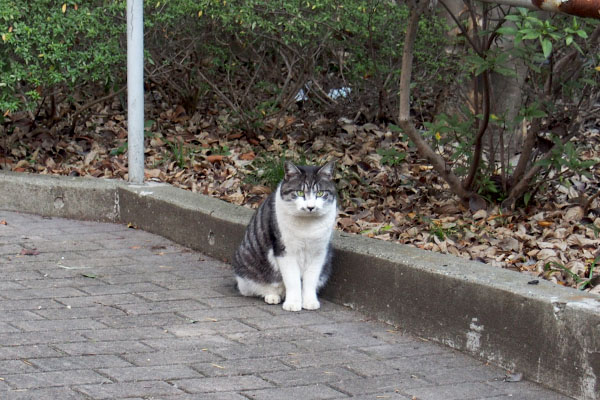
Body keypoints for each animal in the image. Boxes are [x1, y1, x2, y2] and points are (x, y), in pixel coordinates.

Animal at [233, 161, 338, 310]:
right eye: (299, 192)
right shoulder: (285, 251)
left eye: (320, 193)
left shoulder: (319, 252)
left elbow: (310, 280)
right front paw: (293, 303)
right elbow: (292, 280)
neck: (307, 225)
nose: (310, 207)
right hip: (246, 266)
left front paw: (309, 301)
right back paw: (272, 296)